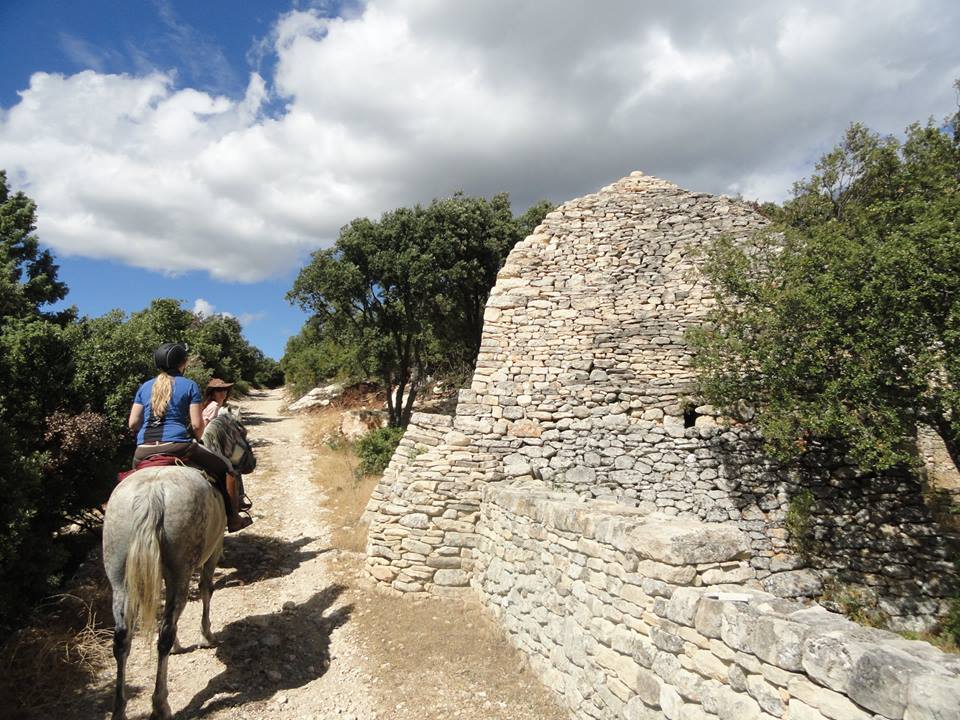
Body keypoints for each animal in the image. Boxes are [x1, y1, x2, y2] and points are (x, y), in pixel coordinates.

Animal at [101, 416, 255, 720]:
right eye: (242, 433)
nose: (252, 462)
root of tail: (152, 494)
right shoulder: (213, 550)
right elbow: (207, 589)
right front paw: (206, 635)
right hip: (181, 572)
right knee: (165, 630)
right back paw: (161, 704)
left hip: (120, 579)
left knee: (122, 638)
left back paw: (119, 709)